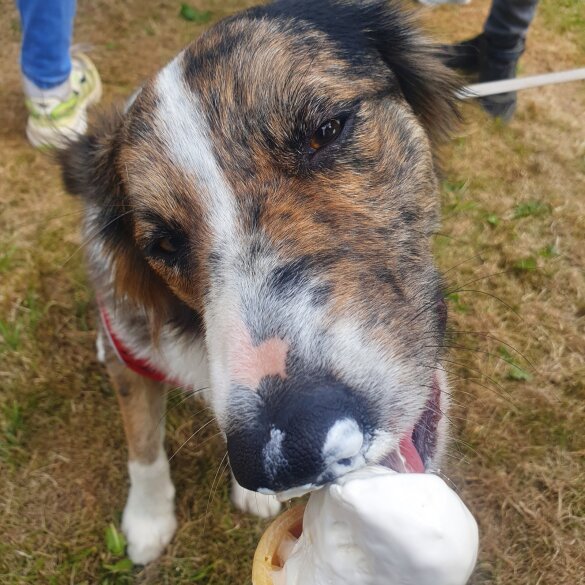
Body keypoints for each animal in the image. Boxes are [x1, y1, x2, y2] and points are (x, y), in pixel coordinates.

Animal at [59, 0, 460, 564]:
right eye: (164, 244)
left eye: (327, 130)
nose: (289, 452)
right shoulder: (135, 357)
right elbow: (143, 446)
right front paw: (147, 519)